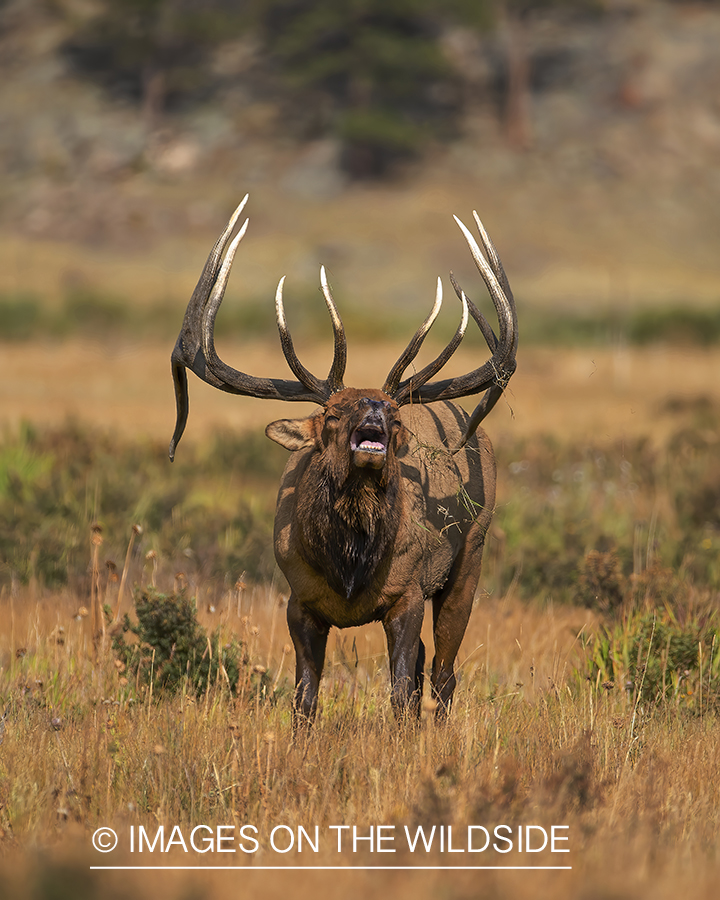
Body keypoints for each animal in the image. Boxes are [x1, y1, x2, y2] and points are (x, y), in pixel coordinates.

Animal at [169, 197, 516, 724]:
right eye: (332, 412)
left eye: (394, 414)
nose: (373, 409)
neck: (349, 566)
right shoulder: (299, 601)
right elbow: (304, 701)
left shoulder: (407, 594)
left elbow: (400, 695)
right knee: (427, 668)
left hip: (470, 557)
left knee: (442, 673)